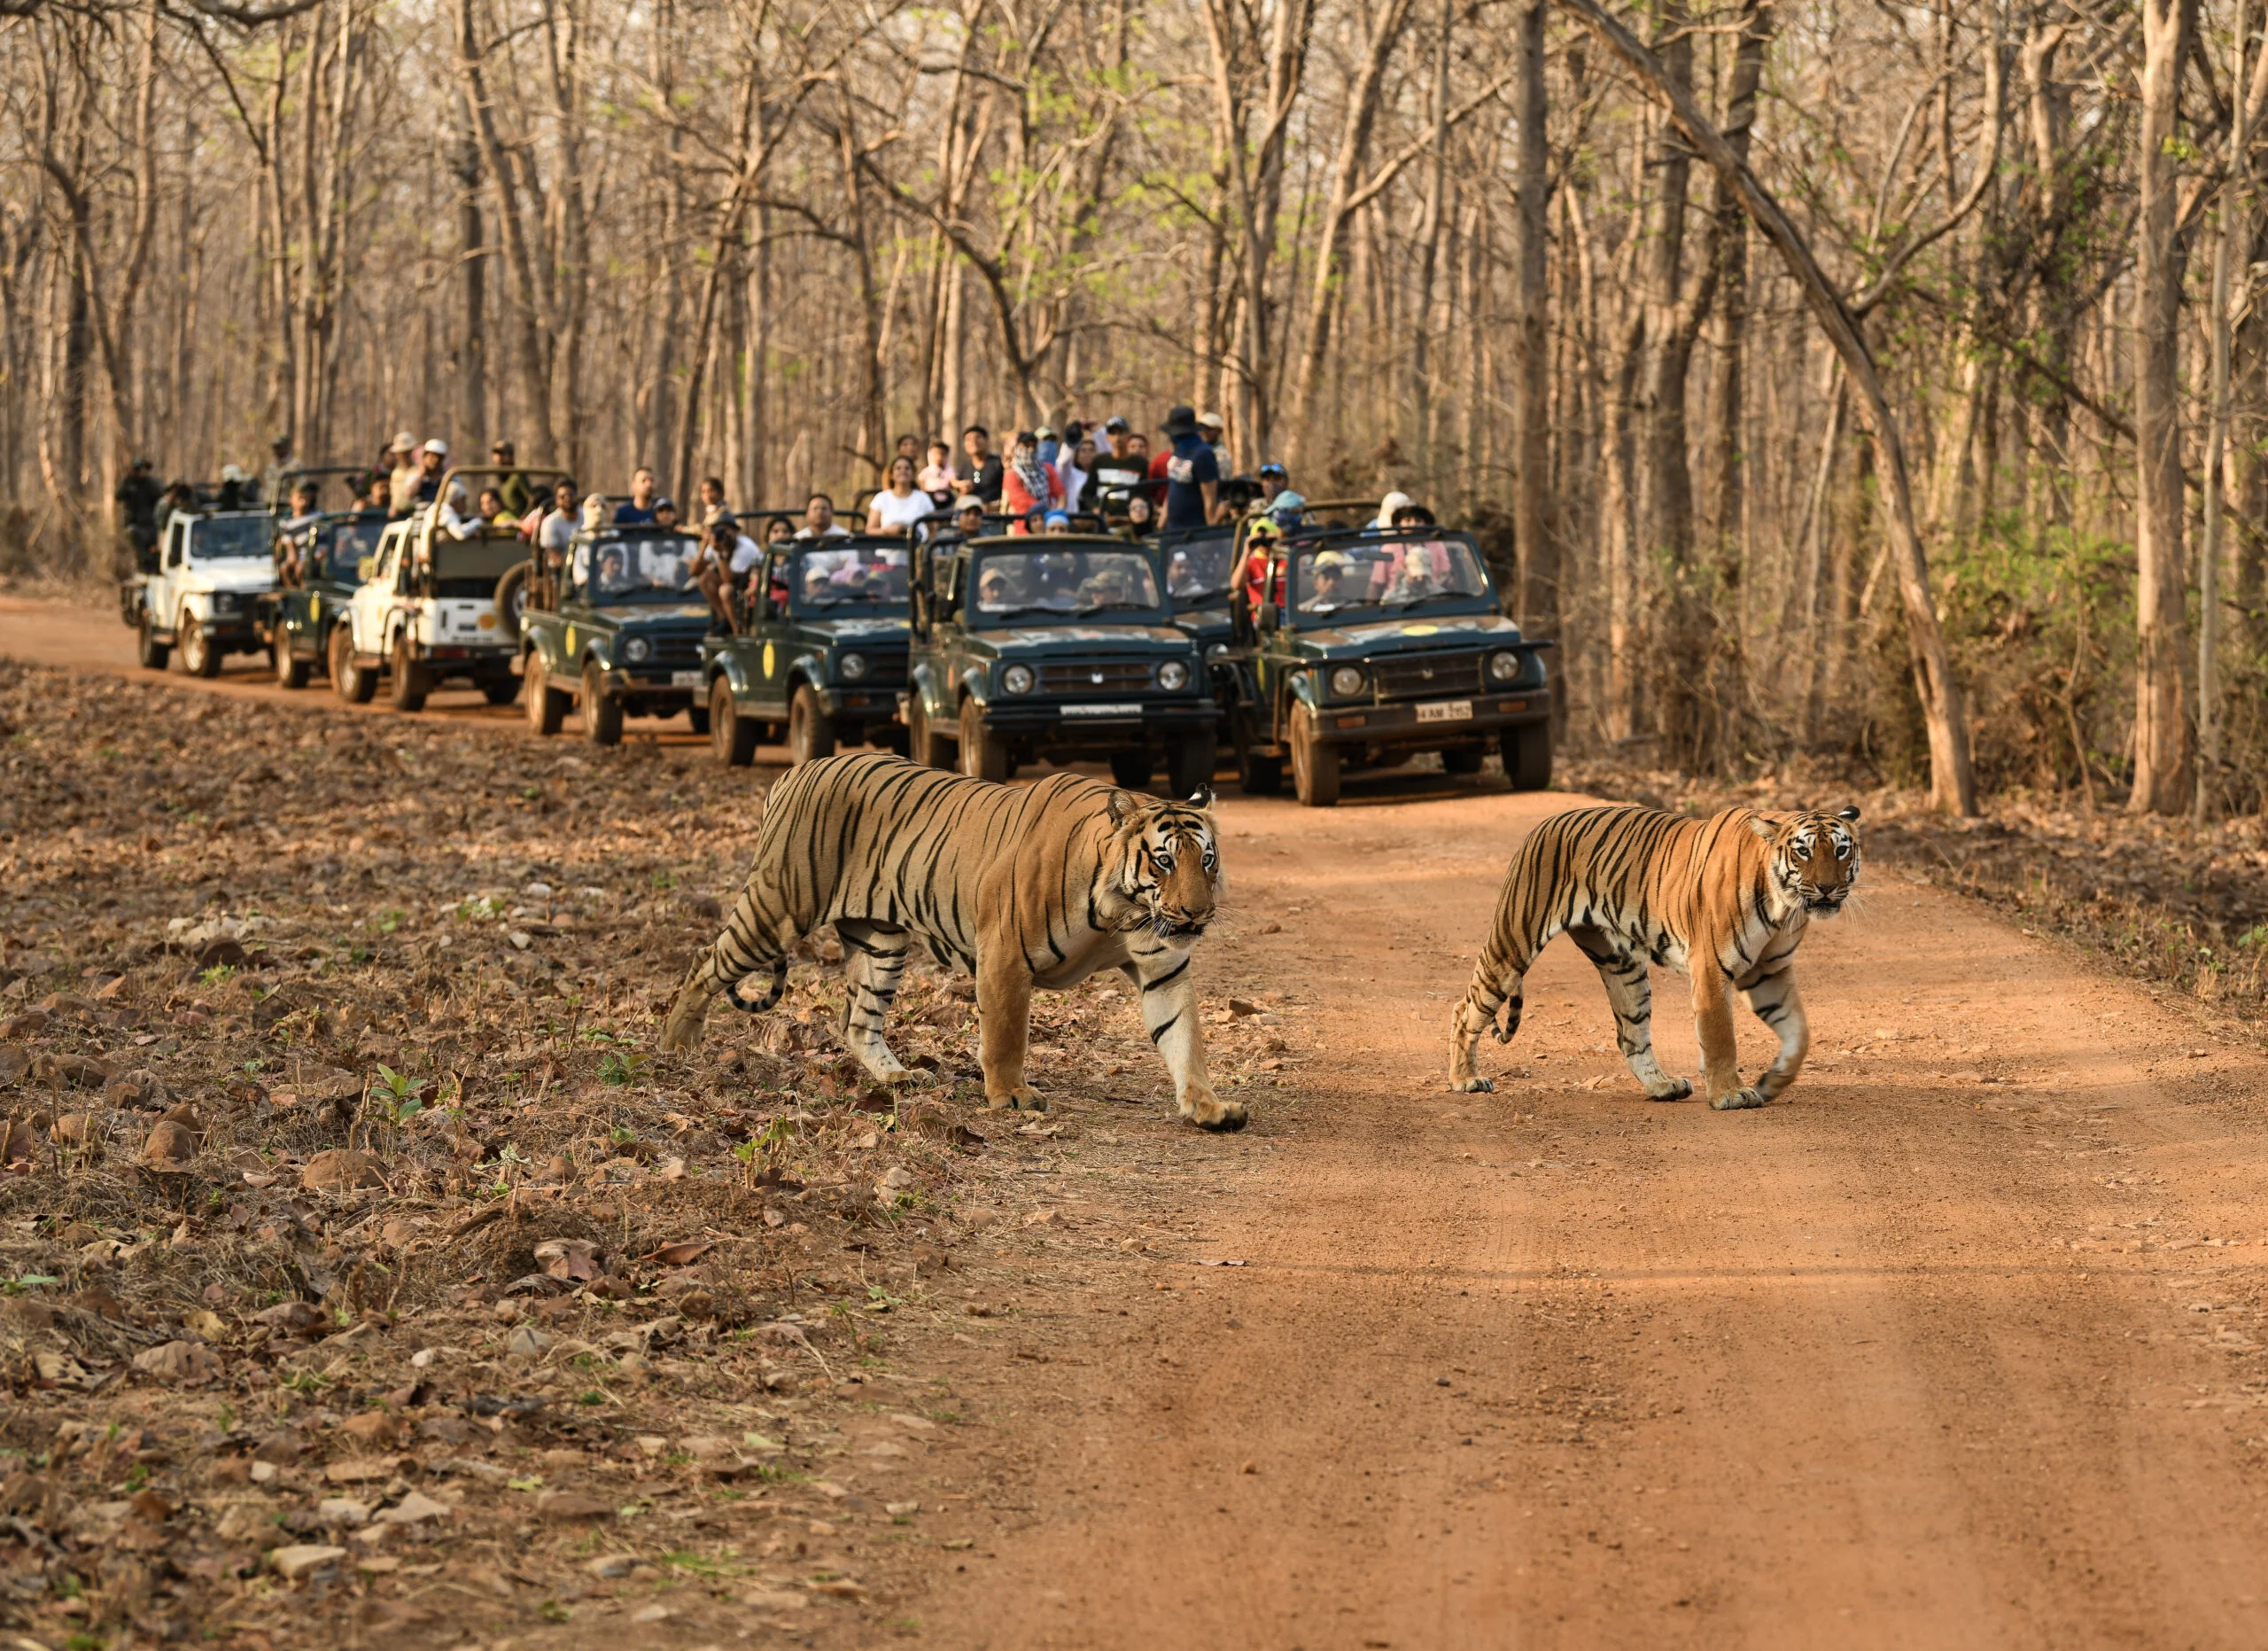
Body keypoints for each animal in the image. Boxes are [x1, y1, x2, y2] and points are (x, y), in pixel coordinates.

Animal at [658, 752, 1245, 1131]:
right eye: (1164, 860)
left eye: (1206, 859)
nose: (1197, 912)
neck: (1119, 911)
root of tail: (793, 771)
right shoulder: (1004, 953)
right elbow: (1005, 1034)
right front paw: (1011, 1096)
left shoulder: (1163, 965)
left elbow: (1184, 1038)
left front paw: (1208, 1106)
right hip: (778, 908)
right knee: (703, 962)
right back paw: (675, 1046)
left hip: (882, 943)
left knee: (858, 1021)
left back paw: (899, 1078)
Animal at [1447, 804, 1861, 1108]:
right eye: (1803, 850)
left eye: (1841, 849)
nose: (1828, 888)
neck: (1783, 906)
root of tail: (1543, 824)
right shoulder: (1711, 966)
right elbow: (1720, 1036)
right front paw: (1730, 1094)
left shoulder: (1769, 972)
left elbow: (1799, 1033)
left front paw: (1773, 1081)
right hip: (1512, 942)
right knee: (1465, 1007)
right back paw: (1465, 1079)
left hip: (1622, 967)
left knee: (1631, 1036)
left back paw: (1663, 1086)